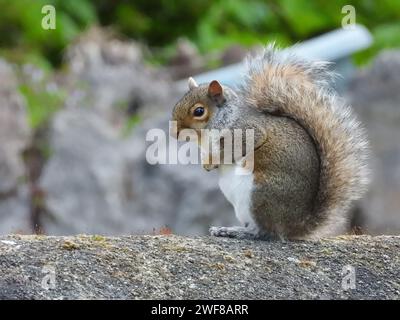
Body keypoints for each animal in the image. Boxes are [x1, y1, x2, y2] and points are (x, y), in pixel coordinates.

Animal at [170, 45, 370, 240]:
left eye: (199, 111)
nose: (174, 133)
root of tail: (295, 226)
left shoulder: (246, 131)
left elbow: (235, 149)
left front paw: (211, 163)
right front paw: (206, 163)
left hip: (260, 194)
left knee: (265, 232)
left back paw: (236, 231)